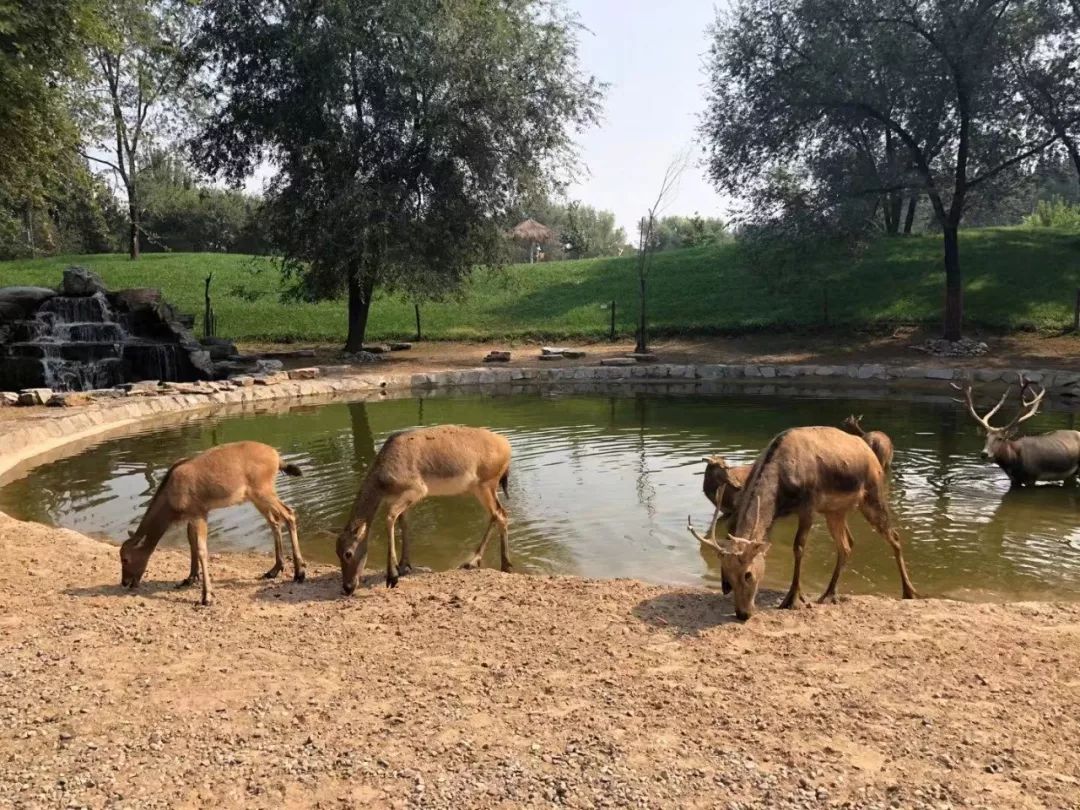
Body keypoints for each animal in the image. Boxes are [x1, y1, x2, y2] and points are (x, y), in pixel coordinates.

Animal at [122, 440, 308, 604]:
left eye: (125, 558)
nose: (125, 582)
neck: (170, 496)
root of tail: (276, 457)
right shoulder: (192, 516)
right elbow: (192, 544)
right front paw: (190, 578)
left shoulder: (199, 513)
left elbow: (202, 549)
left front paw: (206, 596)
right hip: (257, 497)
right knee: (274, 521)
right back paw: (274, 570)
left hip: (264, 492)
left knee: (289, 514)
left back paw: (299, 573)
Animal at [336, 425, 514, 596]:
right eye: (336, 551)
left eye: (348, 553)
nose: (347, 587)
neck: (383, 483)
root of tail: (507, 446)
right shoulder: (399, 498)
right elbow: (403, 523)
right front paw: (403, 566)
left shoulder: (417, 489)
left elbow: (390, 516)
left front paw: (392, 577)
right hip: (483, 487)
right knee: (498, 514)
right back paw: (482, 562)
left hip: (485, 485)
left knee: (500, 514)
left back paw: (496, 564)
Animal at [686, 427, 915, 626]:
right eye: (727, 575)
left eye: (748, 574)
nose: (743, 614)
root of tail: (869, 450)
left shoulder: (808, 506)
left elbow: (798, 547)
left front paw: (793, 598)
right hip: (835, 510)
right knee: (847, 544)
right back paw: (829, 593)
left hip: (872, 494)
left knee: (894, 536)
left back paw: (909, 591)